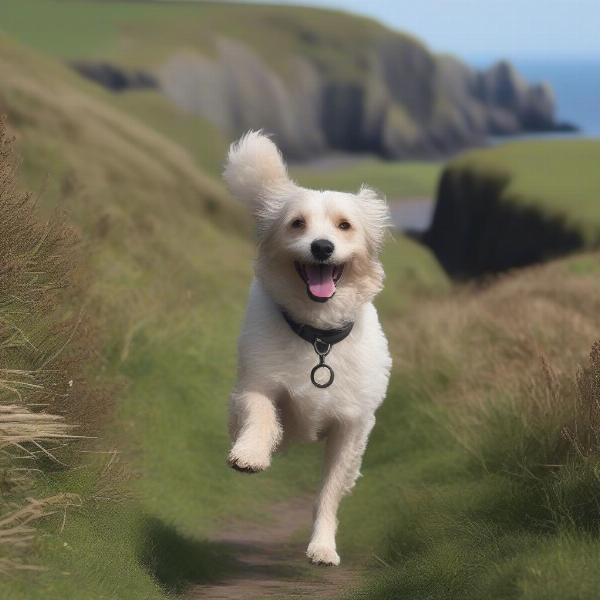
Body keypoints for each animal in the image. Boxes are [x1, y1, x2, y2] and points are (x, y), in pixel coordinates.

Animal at [223, 132, 392, 568]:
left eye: (344, 225)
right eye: (296, 223)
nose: (321, 247)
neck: (317, 336)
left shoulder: (351, 428)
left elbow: (329, 494)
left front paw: (322, 546)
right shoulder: (257, 384)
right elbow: (262, 416)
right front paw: (250, 454)